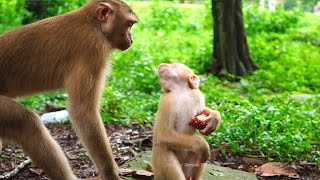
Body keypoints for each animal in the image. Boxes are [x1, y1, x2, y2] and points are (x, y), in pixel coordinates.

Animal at [0, 0, 138, 180]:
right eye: (129, 24)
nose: (131, 39)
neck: (92, 24)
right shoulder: (93, 48)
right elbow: (82, 110)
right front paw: (111, 173)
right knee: (25, 123)